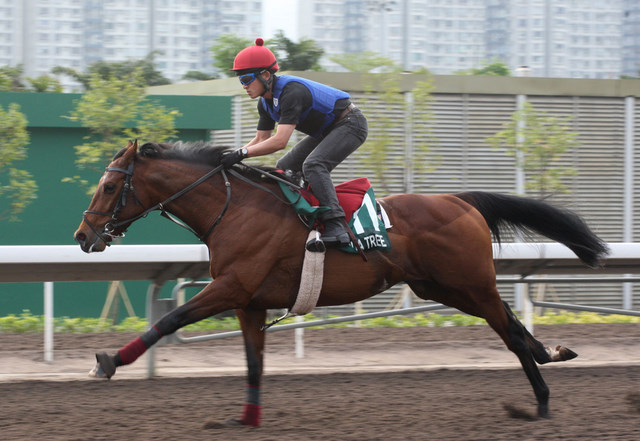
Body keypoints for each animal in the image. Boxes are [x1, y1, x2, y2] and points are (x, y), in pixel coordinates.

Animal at [75, 139, 608, 424]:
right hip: (443, 288)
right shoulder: (250, 301)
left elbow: (169, 321)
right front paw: (246, 419)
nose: (83, 236)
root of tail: (461, 200)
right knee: (513, 327)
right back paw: (553, 354)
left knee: (510, 335)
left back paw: (542, 402)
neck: (233, 208)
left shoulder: (230, 286)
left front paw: (107, 362)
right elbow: (253, 364)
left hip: (470, 284)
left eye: (109, 185)